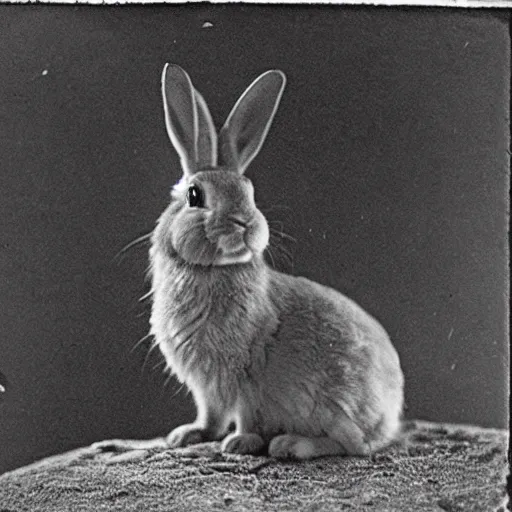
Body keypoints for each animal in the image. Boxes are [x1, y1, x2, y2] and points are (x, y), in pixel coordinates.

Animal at [96, 64, 404, 460]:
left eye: (250, 193)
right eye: (195, 195)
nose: (245, 222)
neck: (212, 271)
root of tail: (389, 418)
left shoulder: (246, 376)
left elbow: (245, 414)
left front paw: (239, 443)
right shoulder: (208, 387)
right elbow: (211, 413)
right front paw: (190, 434)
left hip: (333, 405)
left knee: (352, 445)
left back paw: (292, 444)